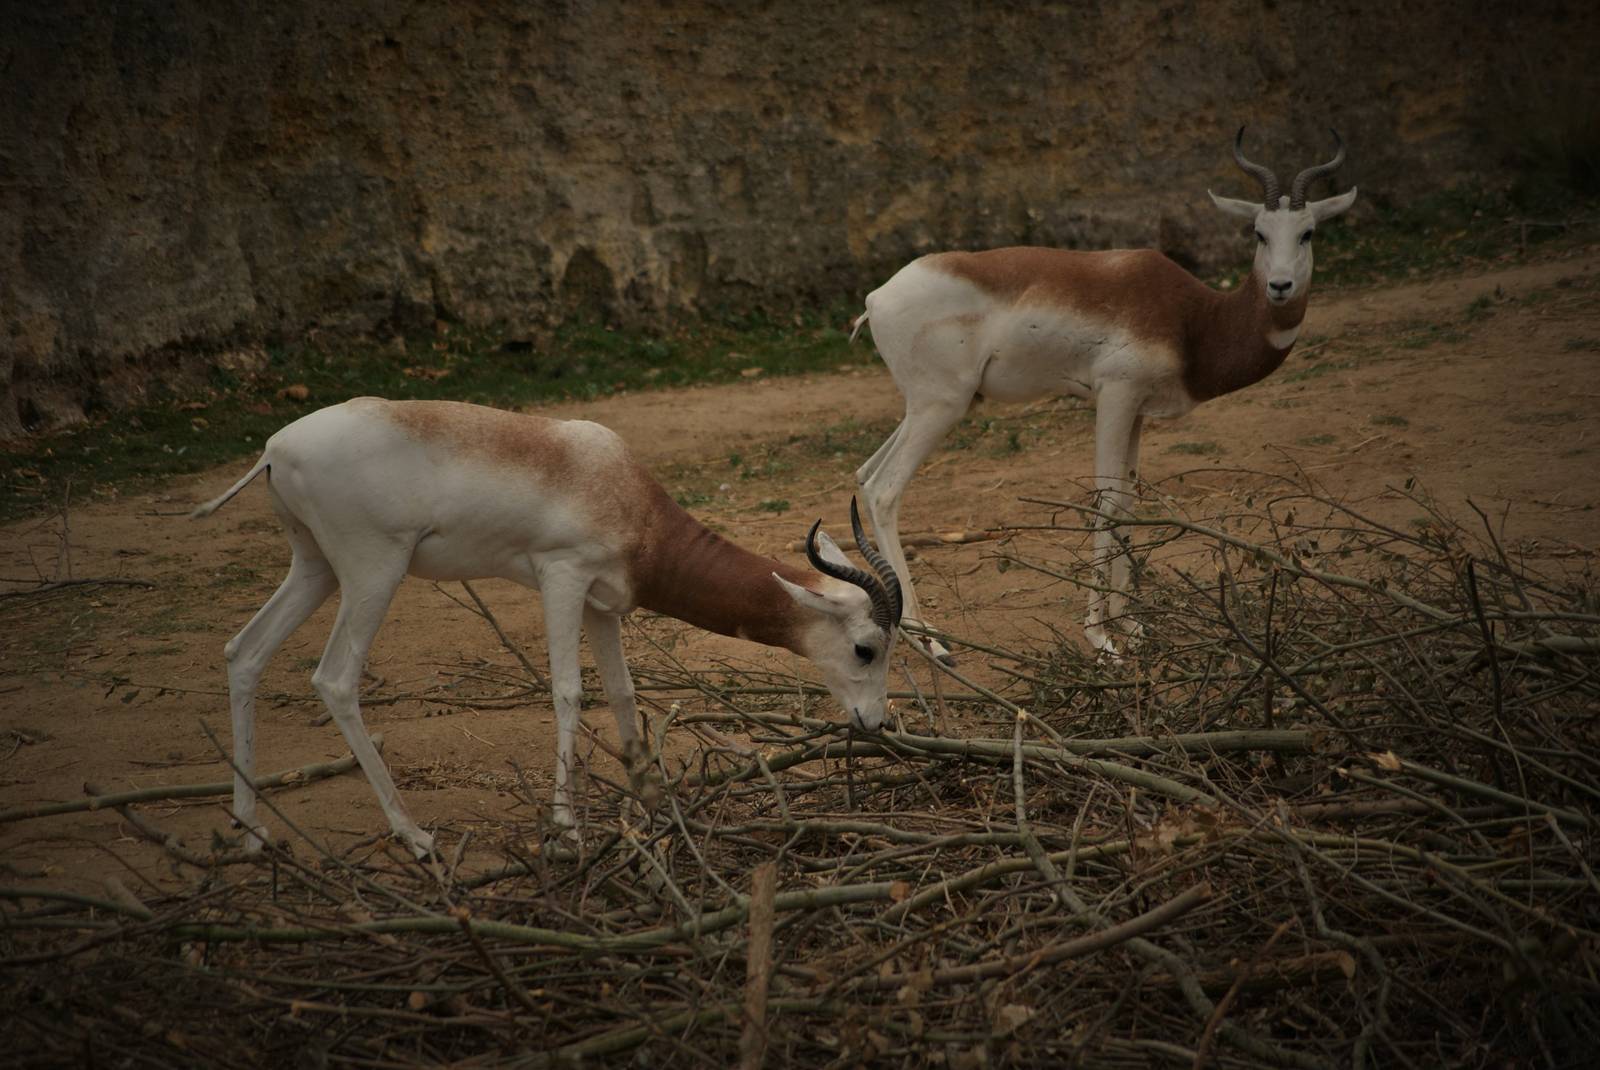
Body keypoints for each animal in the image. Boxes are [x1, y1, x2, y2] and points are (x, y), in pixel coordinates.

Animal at [191, 397, 901, 856]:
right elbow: (568, 694)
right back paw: (413, 835)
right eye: (866, 649)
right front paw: (567, 827)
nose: (875, 723)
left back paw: (250, 830)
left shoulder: (602, 604)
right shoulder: (562, 579)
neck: (619, 488)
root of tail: (273, 449)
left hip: (314, 566)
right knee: (336, 679)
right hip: (374, 569)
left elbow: (622, 693)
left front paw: (648, 799)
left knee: (243, 652)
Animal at [851, 129, 1355, 658]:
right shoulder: (1116, 394)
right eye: (1259, 232)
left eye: (1308, 232)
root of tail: (875, 299)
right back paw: (928, 636)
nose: (1280, 286)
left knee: (865, 474)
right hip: (941, 408)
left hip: (927, 407)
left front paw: (1130, 626)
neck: (1193, 321)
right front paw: (1100, 636)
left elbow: (1128, 503)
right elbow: (1106, 502)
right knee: (886, 490)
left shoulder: (1138, 410)